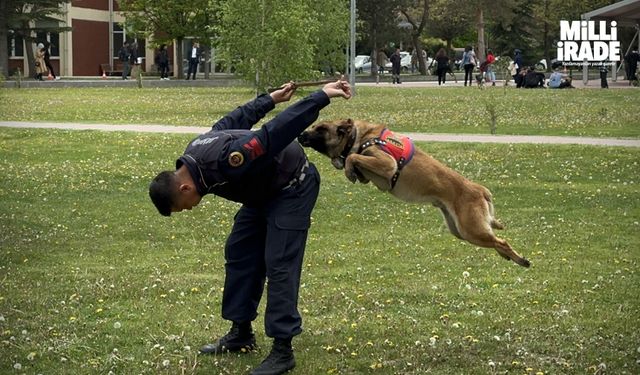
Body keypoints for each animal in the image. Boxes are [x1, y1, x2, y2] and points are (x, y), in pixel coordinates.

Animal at [298, 119, 528, 268]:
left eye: (321, 128)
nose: (300, 135)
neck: (358, 136)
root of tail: (480, 190)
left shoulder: (387, 164)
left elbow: (353, 157)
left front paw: (346, 168)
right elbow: (352, 161)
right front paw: (345, 167)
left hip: (470, 230)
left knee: (501, 241)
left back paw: (521, 260)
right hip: (461, 231)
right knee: (495, 237)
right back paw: (507, 255)